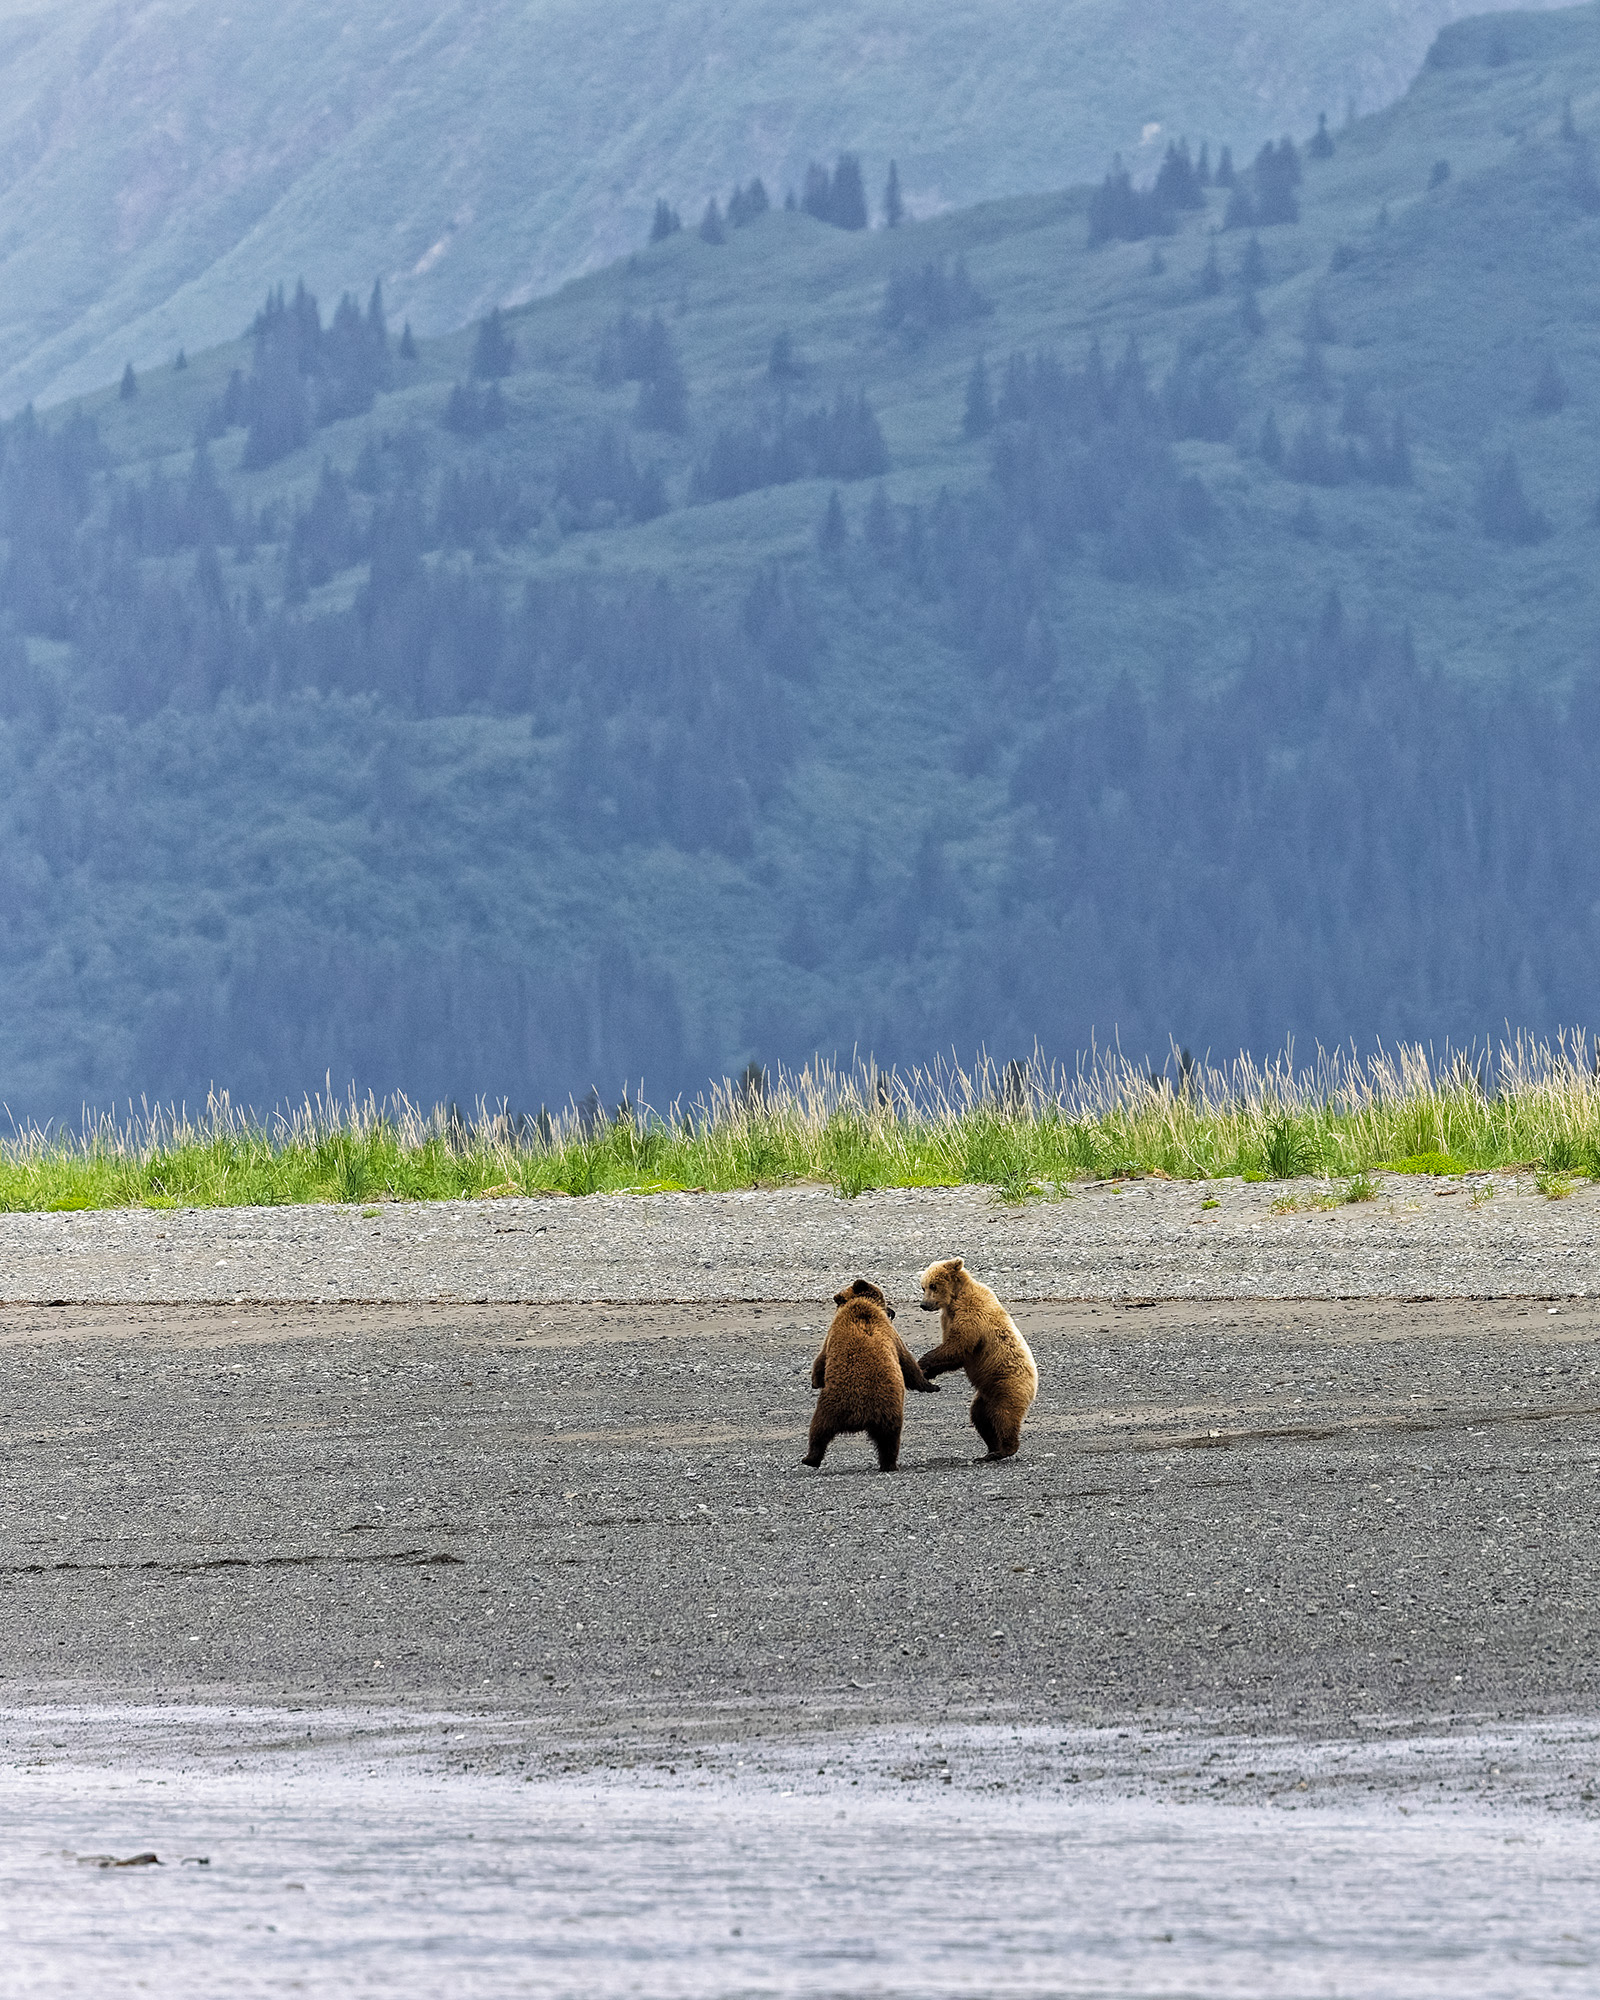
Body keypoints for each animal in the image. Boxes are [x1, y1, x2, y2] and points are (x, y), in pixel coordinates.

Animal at [802, 1276, 940, 1472]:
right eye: (887, 1302)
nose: (893, 1312)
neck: (860, 1305)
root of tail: (858, 1416)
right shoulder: (889, 1333)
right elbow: (907, 1362)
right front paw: (930, 1384)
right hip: (878, 1410)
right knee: (888, 1441)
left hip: (837, 1409)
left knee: (820, 1431)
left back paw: (811, 1459)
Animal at [916, 1257, 1038, 1460]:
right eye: (922, 1287)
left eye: (933, 1285)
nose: (924, 1305)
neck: (954, 1299)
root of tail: (1034, 1385)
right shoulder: (948, 1319)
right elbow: (955, 1356)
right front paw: (928, 1372)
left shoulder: (970, 1314)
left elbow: (957, 1346)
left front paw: (923, 1362)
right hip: (986, 1394)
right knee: (981, 1417)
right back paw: (991, 1449)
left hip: (1007, 1384)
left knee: (1004, 1416)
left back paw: (1004, 1449)